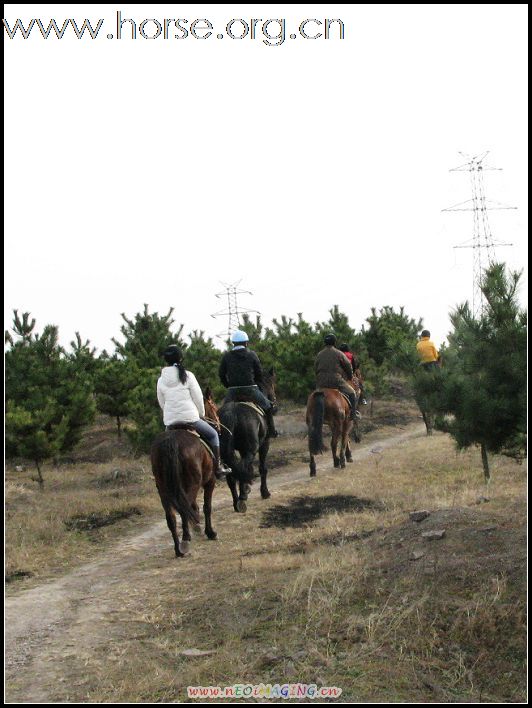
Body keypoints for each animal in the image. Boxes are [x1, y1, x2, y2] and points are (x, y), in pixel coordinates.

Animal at [151, 390, 221, 556]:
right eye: (214, 407)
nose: (218, 425)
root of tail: (171, 440)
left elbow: (194, 507)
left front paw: (197, 527)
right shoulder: (210, 481)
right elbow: (206, 507)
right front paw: (210, 532)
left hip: (163, 488)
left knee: (171, 516)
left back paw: (178, 549)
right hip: (194, 483)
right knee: (184, 509)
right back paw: (186, 540)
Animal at [219, 368, 278, 512]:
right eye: (272, 384)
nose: (274, 405)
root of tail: (232, 413)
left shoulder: (242, 449)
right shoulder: (264, 444)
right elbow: (262, 468)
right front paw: (265, 492)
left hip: (228, 453)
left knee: (232, 474)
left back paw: (236, 501)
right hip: (252, 449)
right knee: (242, 467)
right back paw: (242, 498)